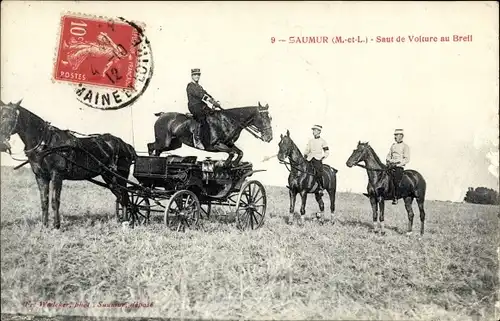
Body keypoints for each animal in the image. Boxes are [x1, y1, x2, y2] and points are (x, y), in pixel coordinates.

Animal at [0, 99, 137, 228]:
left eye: (7, 116)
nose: (2, 144)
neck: (45, 143)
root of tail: (126, 145)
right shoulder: (40, 176)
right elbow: (44, 201)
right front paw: (44, 226)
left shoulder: (57, 175)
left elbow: (55, 201)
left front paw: (56, 226)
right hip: (109, 178)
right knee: (121, 197)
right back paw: (124, 220)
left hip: (120, 176)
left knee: (125, 196)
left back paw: (127, 222)